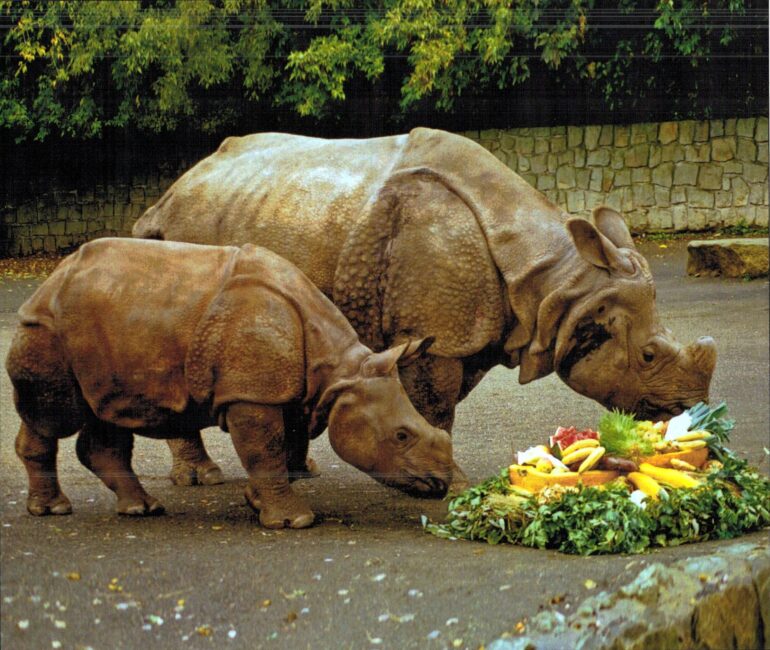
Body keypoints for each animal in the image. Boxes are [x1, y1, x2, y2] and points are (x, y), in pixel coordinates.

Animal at [5, 238, 453, 529]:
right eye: (401, 436)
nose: (443, 483)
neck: (339, 372)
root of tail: (52, 278)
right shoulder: (250, 394)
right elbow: (265, 449)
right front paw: (295, 521)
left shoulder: (286, 391)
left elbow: (280, 447)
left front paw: (258, 503)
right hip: (46, 328)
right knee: (54, 415)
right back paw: (53, 511)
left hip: (108, 326)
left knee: (110, 411)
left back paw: (142, 509)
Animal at [133, 127, 717, 488]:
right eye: (647, 355)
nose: (688, 410)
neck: (558, 280)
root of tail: (171, 191)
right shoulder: (436, 334)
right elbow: (436, 406)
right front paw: (454, 484)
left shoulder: (473, 330)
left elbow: (443, 405)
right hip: (180, 245)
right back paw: (202, 479)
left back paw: (302, 470)